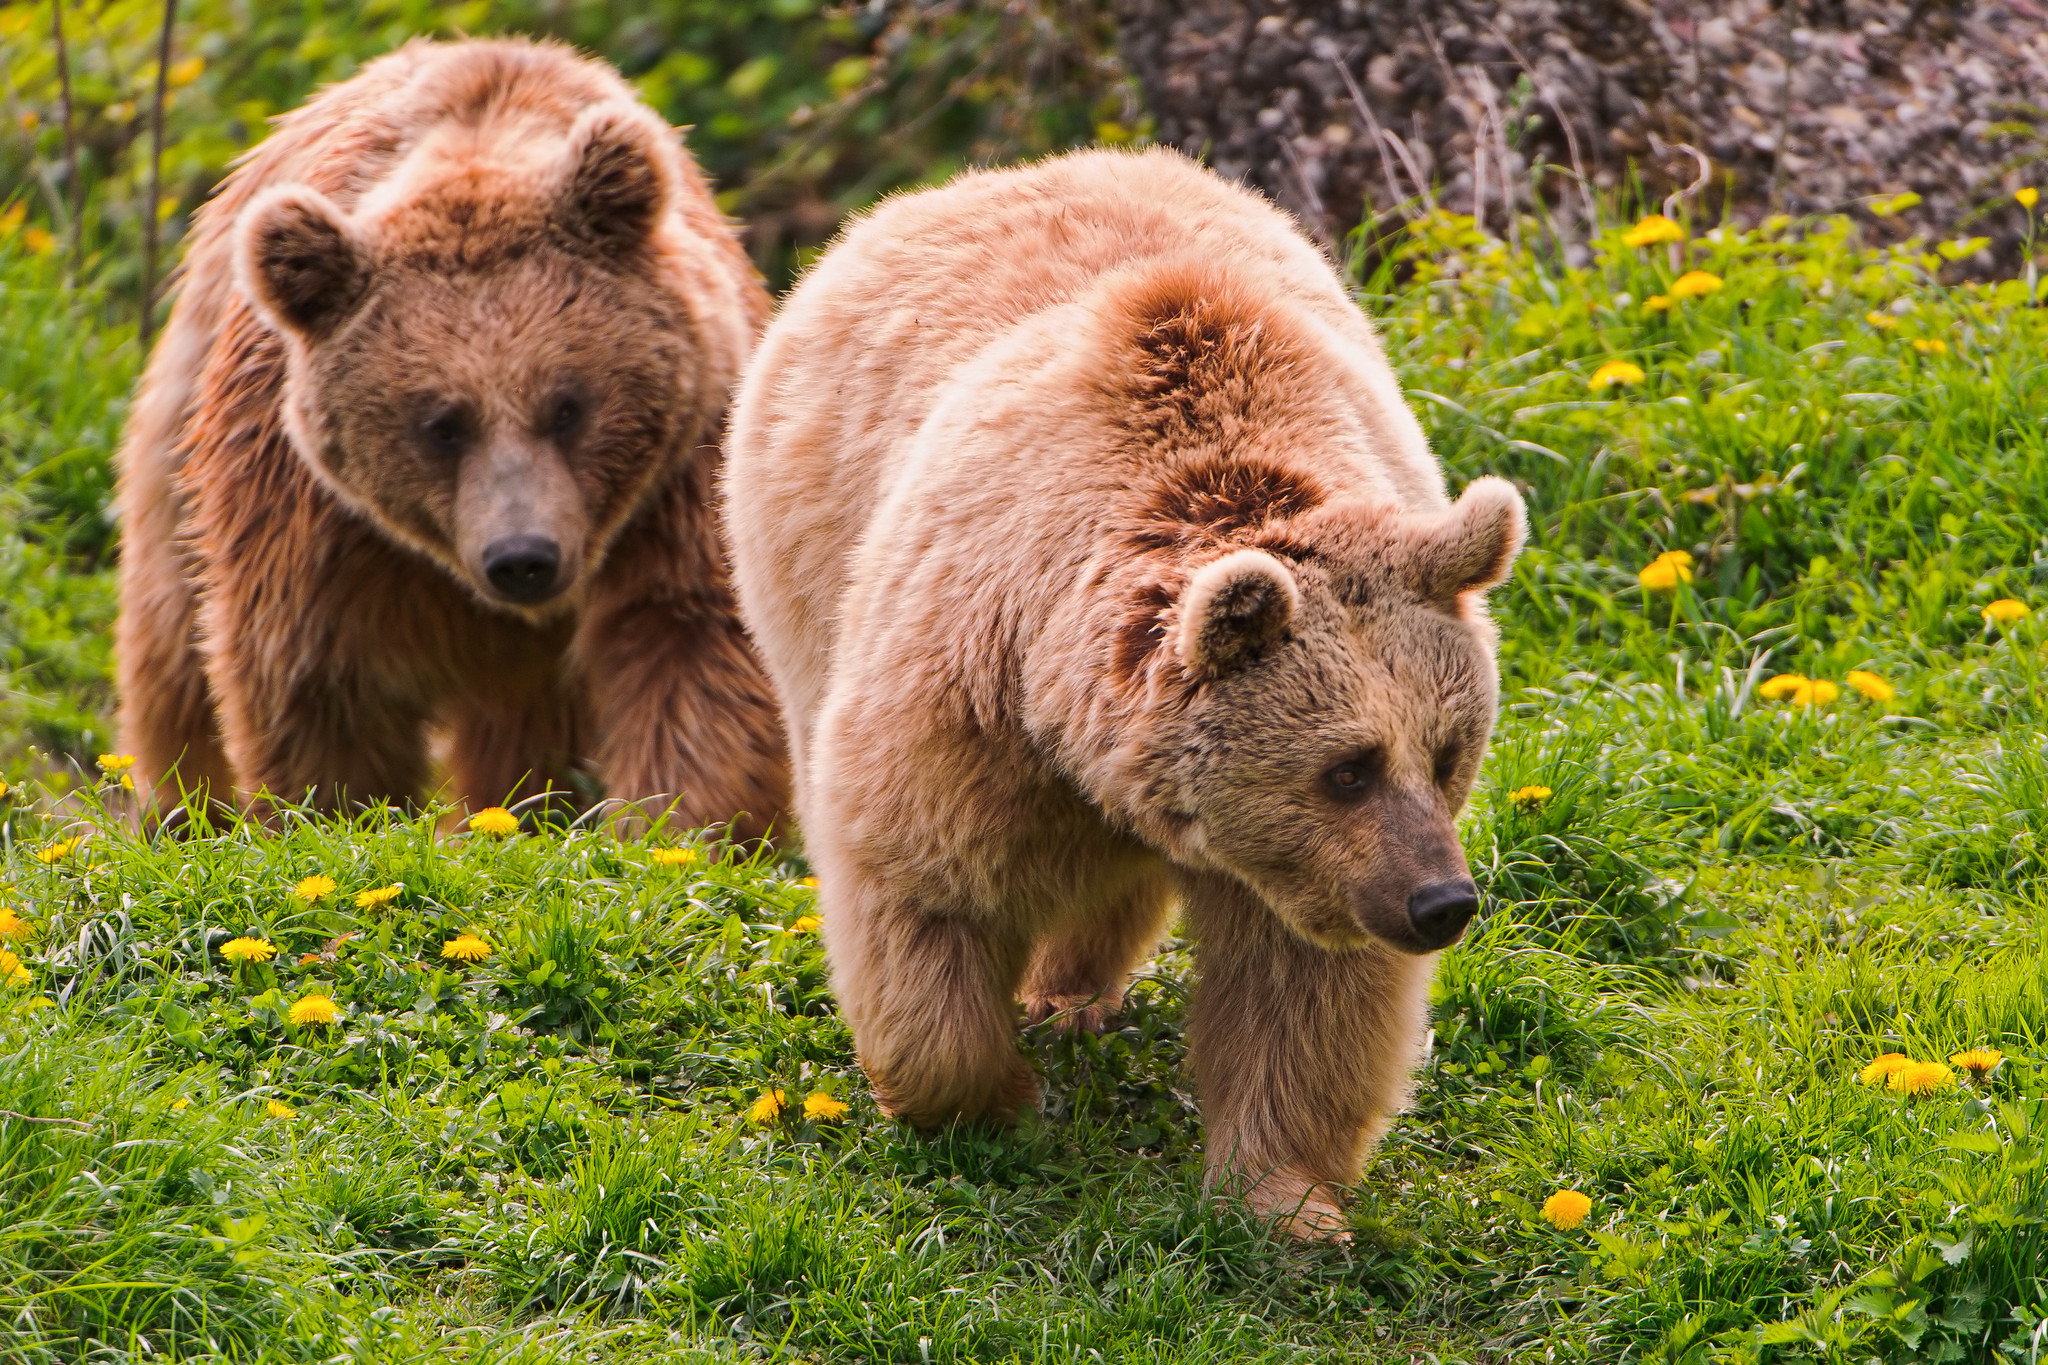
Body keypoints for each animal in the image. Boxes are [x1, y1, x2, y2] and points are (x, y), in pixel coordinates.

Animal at [110, 37, 790, 839]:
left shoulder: (682, 475)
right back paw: (184, 809)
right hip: (179, 428)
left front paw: (672, 830)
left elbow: (692, 644)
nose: (523, 557)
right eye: (441, 423)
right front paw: (340, 813)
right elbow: (319, 679)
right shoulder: (317, 518)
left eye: (568, 405)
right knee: (170, 640)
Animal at [729, 149, 1531, 1236]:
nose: (1440, 901)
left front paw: (1286, 1199)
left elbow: (1303, 994)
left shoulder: (1301, 870)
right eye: (1347, 768)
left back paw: (1076, 989)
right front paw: (991, 1096)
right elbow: (921, 884)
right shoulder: (969, 694)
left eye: (1448, 752)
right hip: (803, 557)